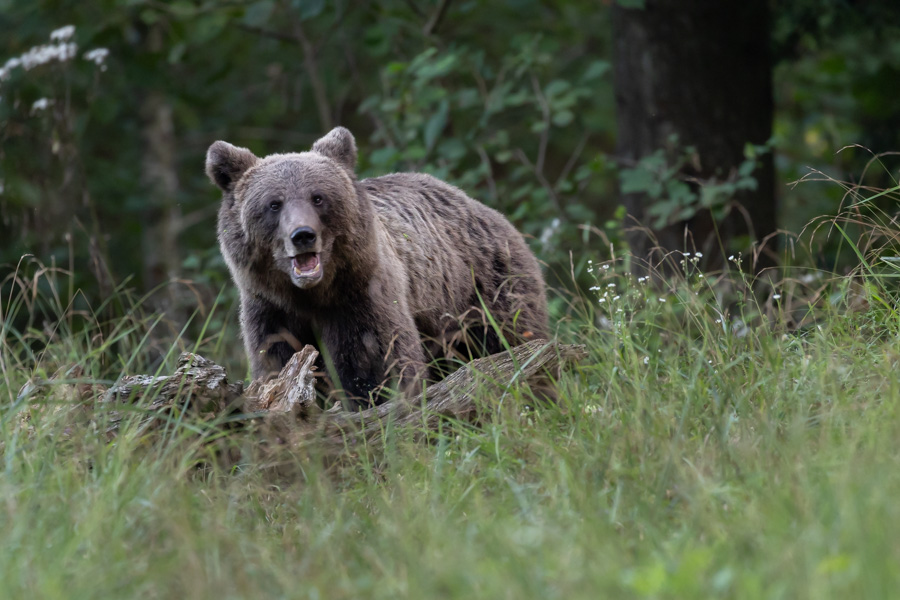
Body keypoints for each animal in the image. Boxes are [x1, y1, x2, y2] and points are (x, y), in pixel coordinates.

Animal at [207, 126, 552, 408]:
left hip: (482, 289)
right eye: (274, 204)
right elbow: (275, 362)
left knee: (511, 338)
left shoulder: (360, 297)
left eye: (317, 197)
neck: (310, 296)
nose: (303, 235)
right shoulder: (270, 310)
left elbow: (375, 366)